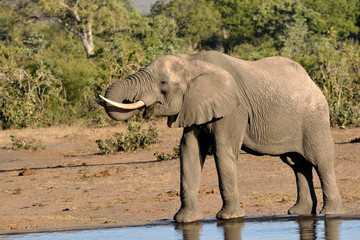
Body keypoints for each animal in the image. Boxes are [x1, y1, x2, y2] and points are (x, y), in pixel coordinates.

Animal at [95, 50, 344, 223]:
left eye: (163, 83)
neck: (194, 62)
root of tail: (313, 82)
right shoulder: (194, 105)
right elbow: (188, 152)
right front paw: (184, 221)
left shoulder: (234, 108)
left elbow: (223, 150)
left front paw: (229, 218)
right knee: (297, 164)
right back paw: (299, 212)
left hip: (315, 118)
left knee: (320, 161)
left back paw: (330, 213)